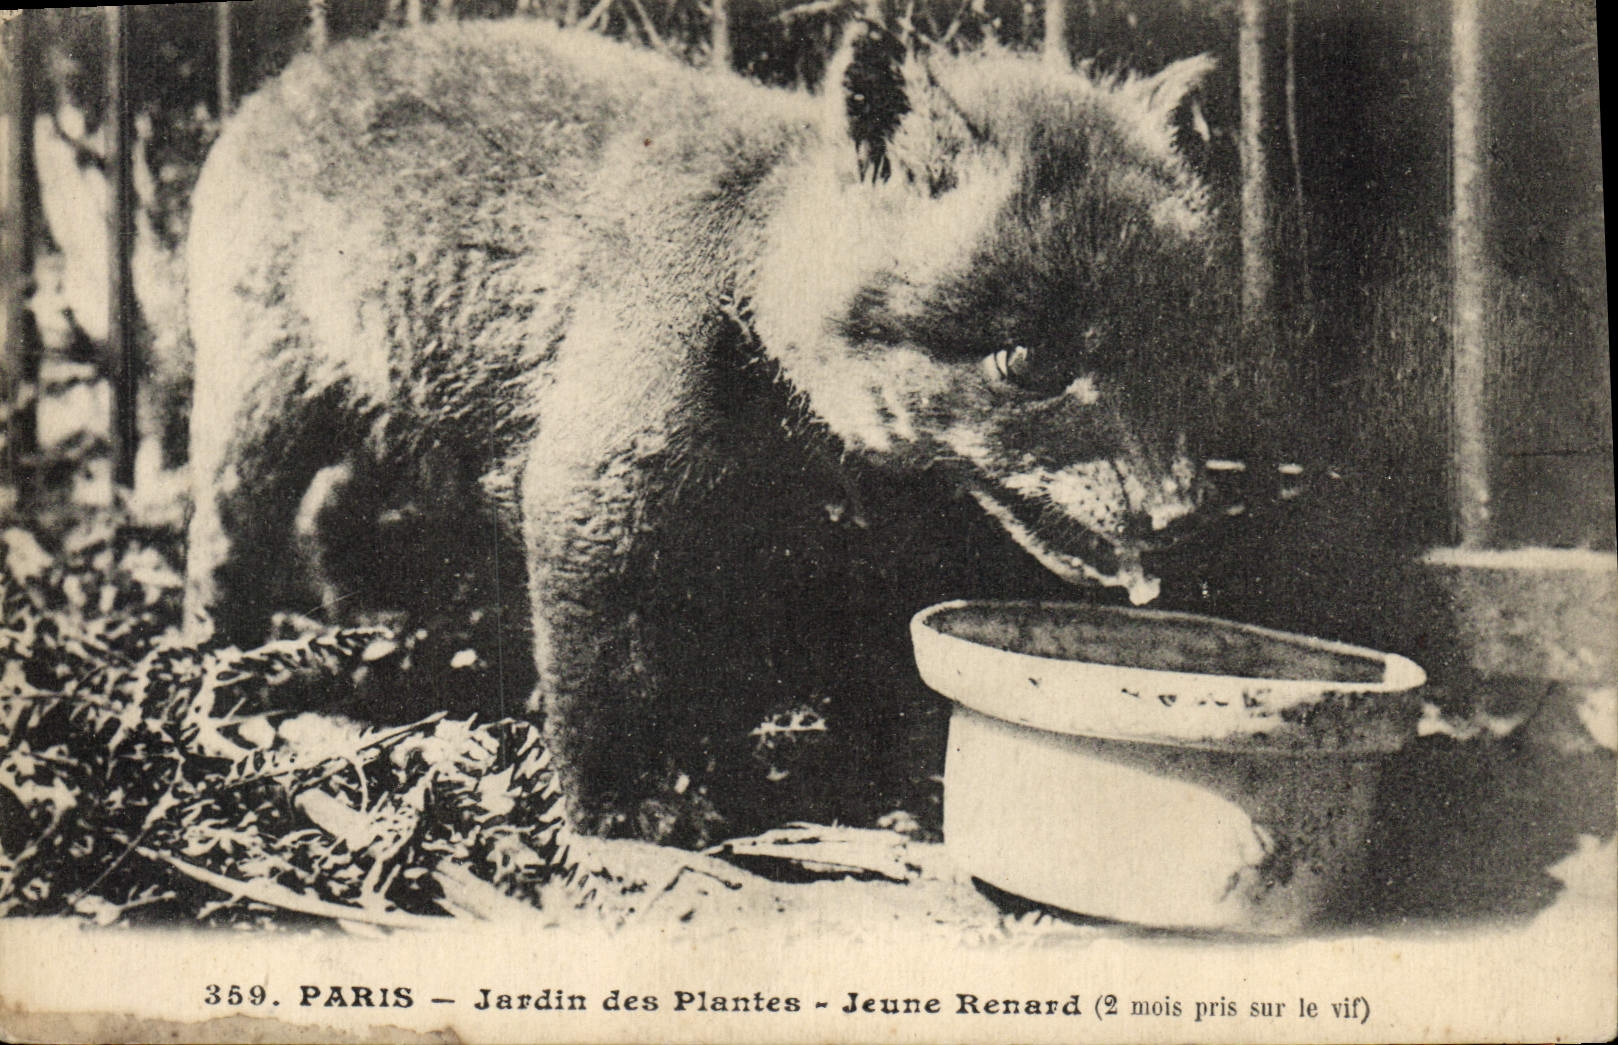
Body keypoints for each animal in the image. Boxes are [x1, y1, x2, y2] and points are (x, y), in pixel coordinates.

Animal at [184, 16, 1228, 841]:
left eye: (1184, 347)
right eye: (1026, 361)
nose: (1182, 515)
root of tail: (294, 75)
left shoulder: (835, 551)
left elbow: (867, 676)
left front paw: (902, 794)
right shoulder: (595, 485)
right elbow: (609, 672)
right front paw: (628, 807)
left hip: (397, 416)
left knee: (330, 516)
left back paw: (361, 620)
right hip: (262, 408)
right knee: (226, 533)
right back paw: (221, 663)